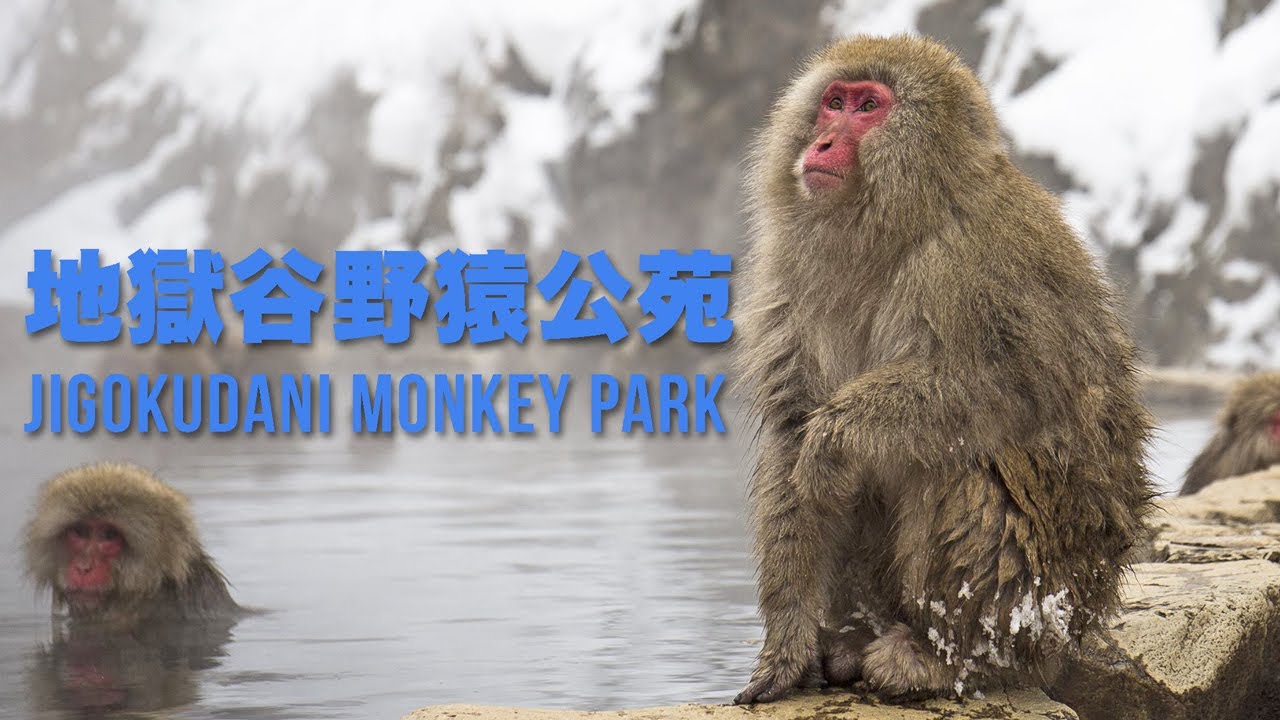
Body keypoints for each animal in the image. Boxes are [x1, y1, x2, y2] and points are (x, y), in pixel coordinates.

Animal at [733, 35, 1153, 703]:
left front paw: (835, 434)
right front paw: (787, 648)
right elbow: (791, 433)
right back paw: (852, 641)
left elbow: (1003, 391)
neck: (891, 229)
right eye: (833, 103)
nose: (820, 144)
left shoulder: (974, 264)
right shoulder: (789, 280)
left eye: (868, 107)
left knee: (961, 460)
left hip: (1047, 602)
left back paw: (942, 658)